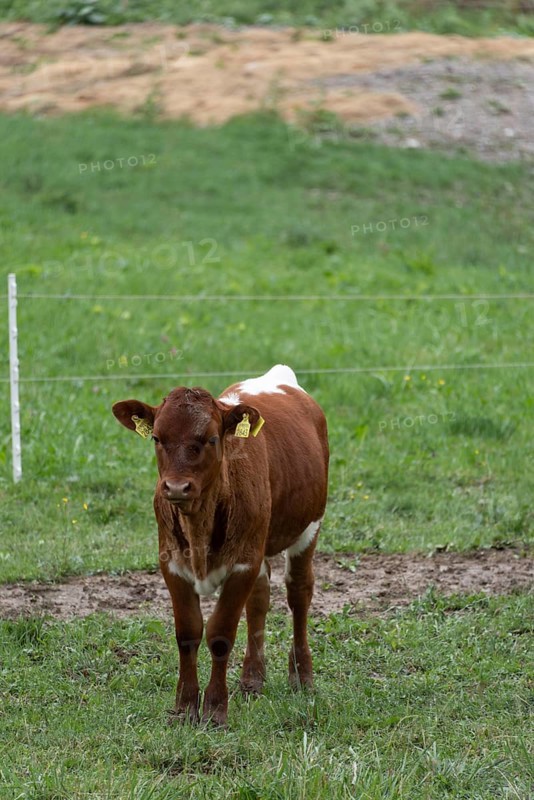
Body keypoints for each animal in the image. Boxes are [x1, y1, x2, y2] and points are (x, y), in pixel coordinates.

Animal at [112, 364, 329, 727]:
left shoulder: (242, 563)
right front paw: (185, 708)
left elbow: (220, 634)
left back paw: (302, 676)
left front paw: (214, 710)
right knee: (259, 600)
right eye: (157, 438)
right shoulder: (172, 562)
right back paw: (252, 679)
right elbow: (188, 633)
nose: (176, 487)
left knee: (299, 594)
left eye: (211, 439)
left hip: (308, 528)